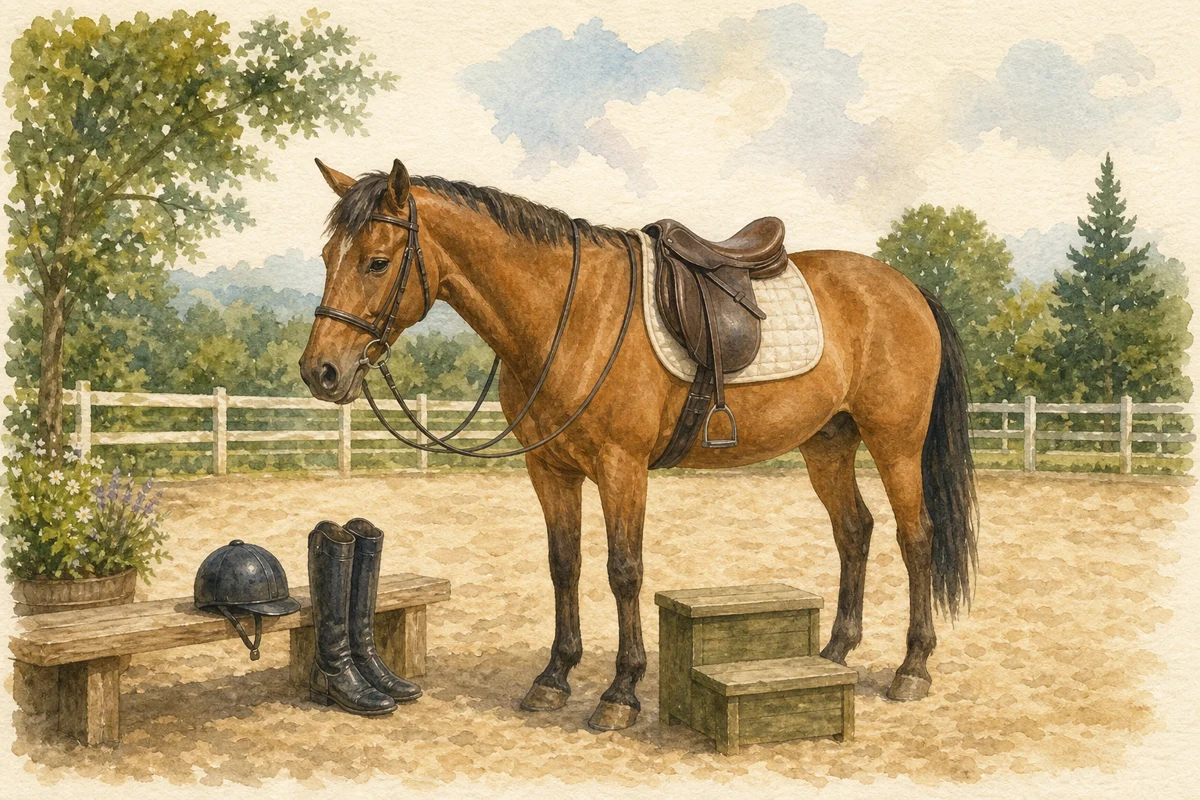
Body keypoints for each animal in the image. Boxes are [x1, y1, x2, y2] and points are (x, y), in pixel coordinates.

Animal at [300, 159, 977, 731]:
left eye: (377, 262)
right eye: (329, 255)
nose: (321, 372)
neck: (568, 314)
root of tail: (905, 287)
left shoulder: (621, 468)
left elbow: (623, 570)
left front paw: (620, 692)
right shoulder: (550, 469)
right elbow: (564, 566)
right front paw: (554, 677)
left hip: (895, 444)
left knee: (915, 538)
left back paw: (912, 668)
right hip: (827, 444)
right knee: (854, 530)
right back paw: (835, 651)